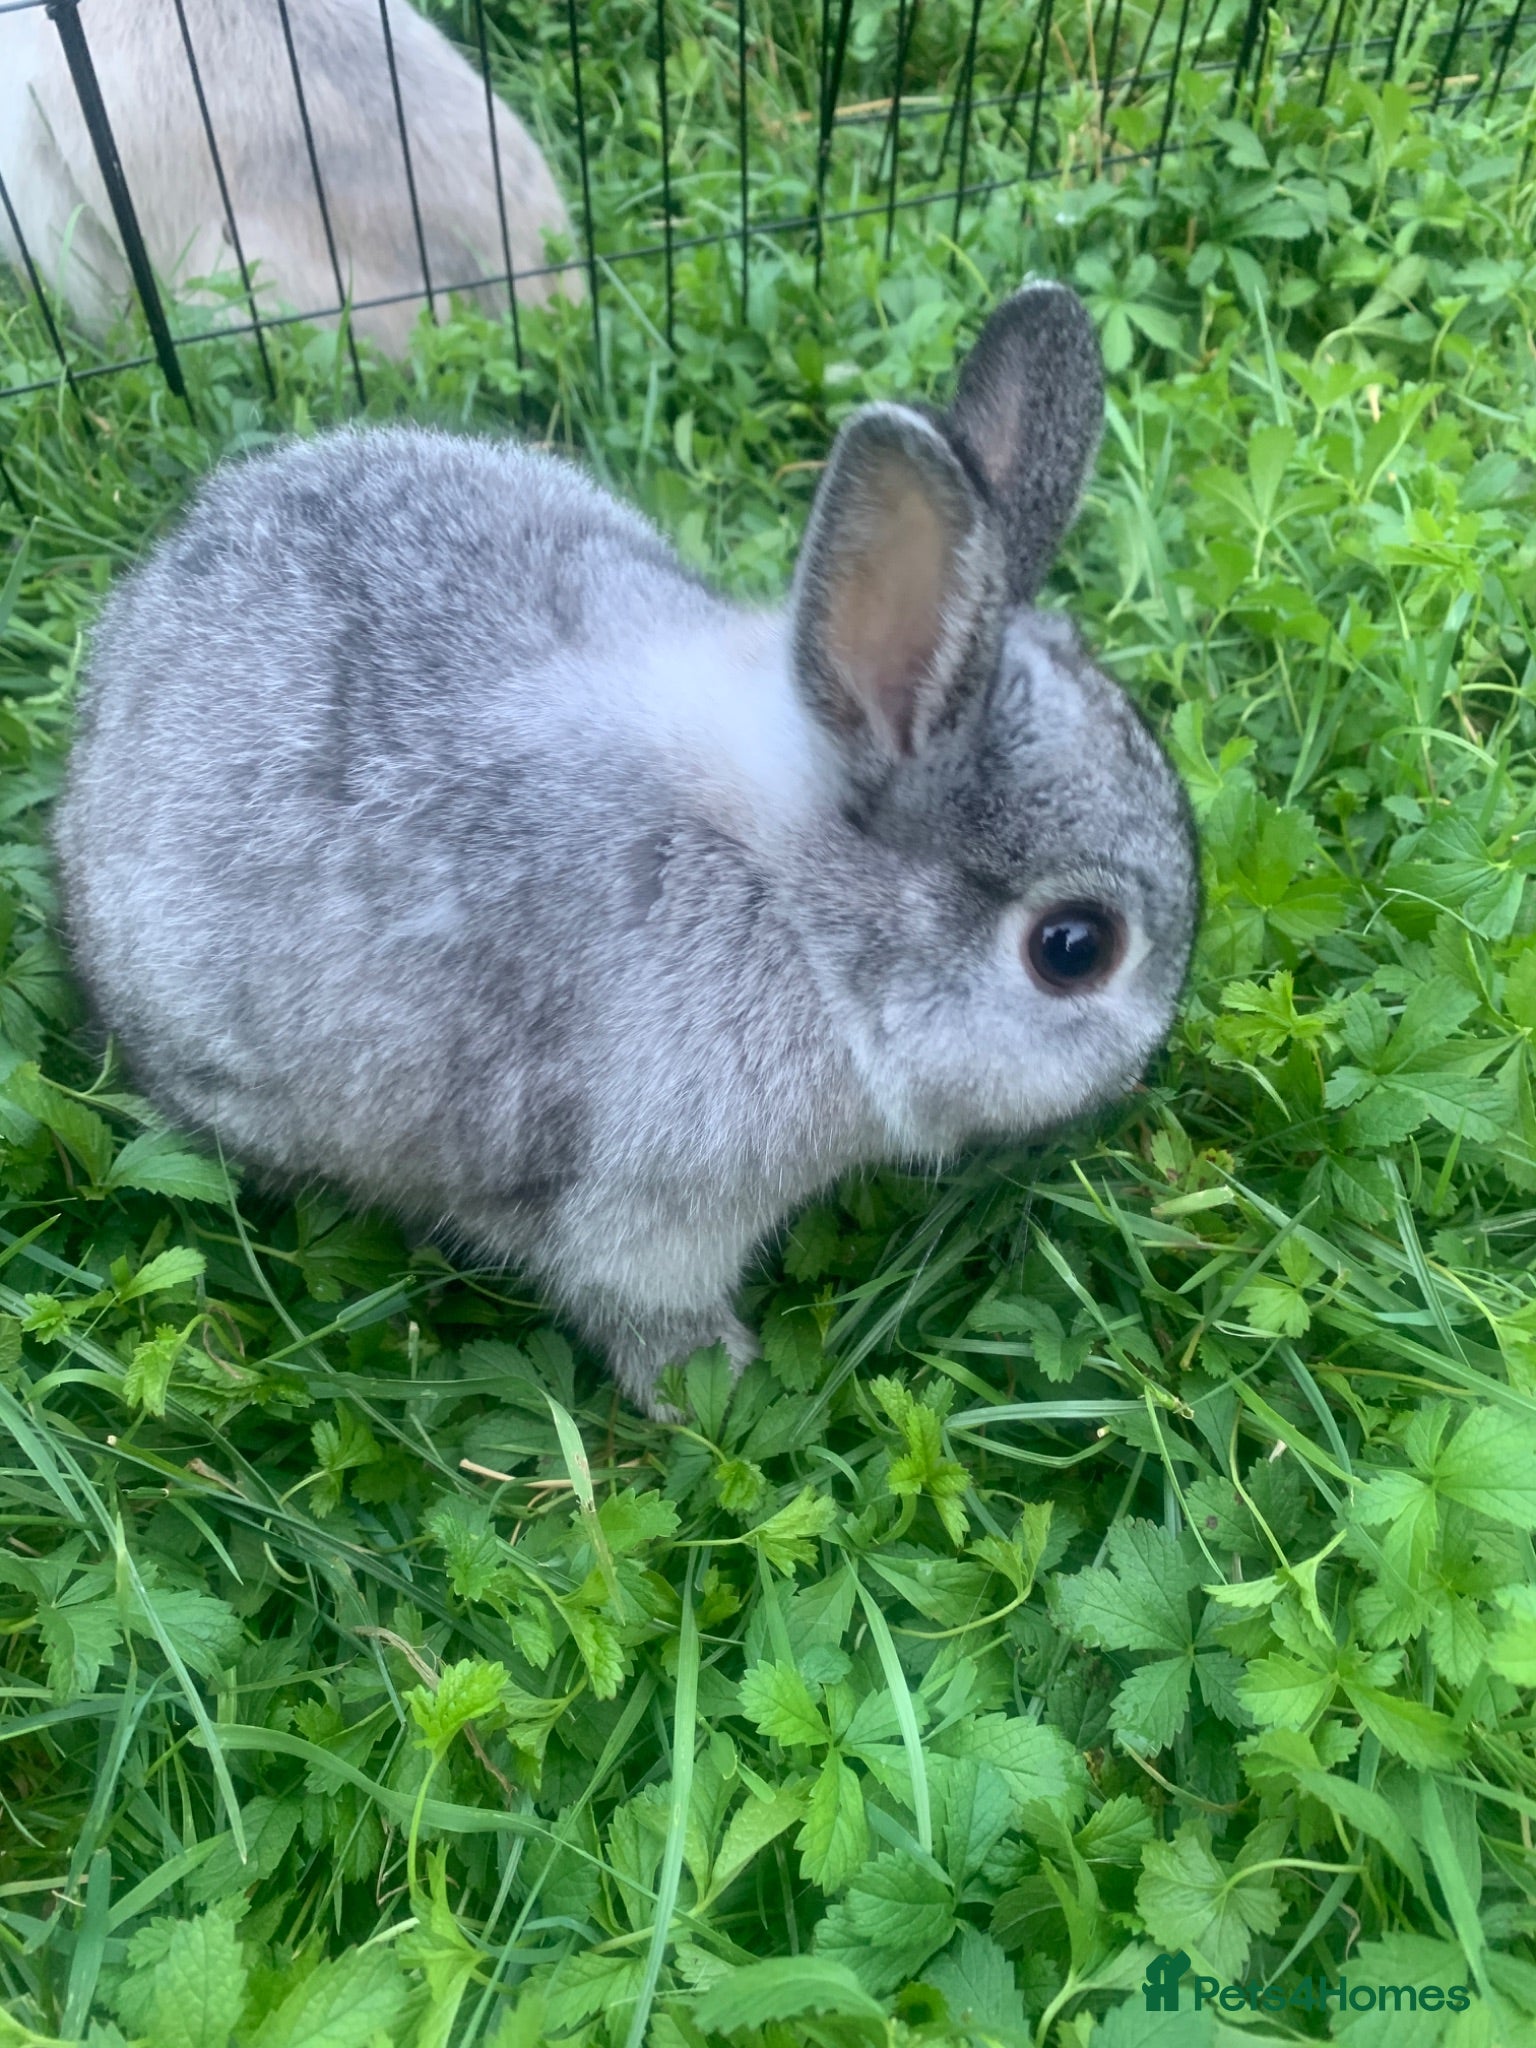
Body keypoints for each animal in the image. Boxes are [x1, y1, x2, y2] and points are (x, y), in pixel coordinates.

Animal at [53, 282, 1199, 1416]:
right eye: (1073, 947)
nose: (1143, 1068)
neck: (796, 912)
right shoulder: (646, 1209)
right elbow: (640, 1302)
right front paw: (716, 1386)